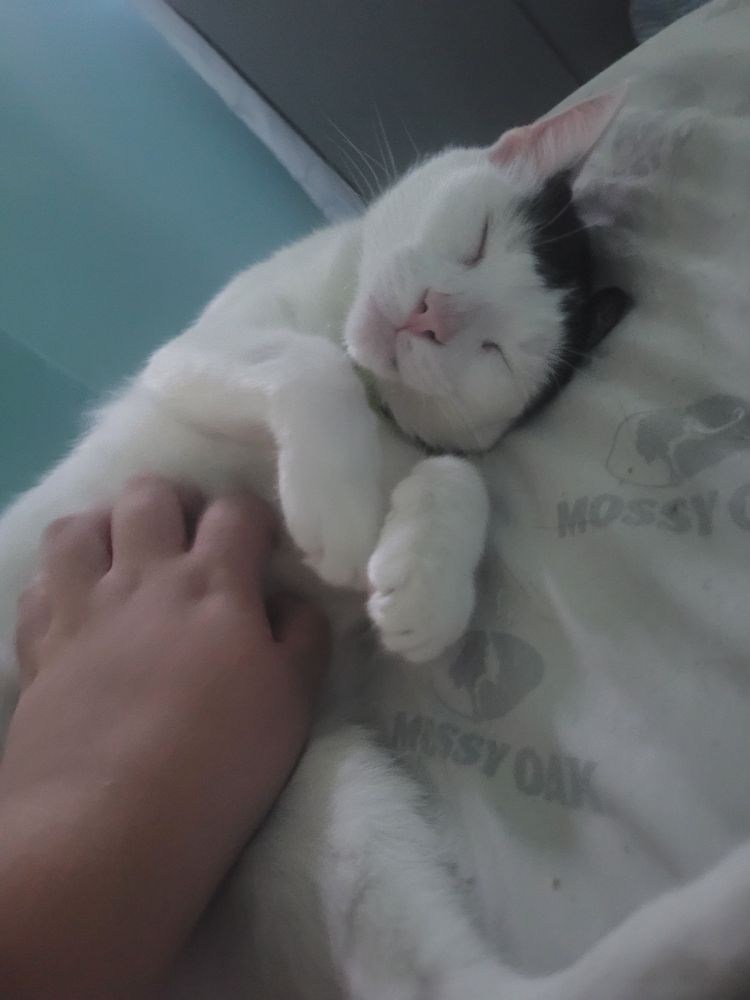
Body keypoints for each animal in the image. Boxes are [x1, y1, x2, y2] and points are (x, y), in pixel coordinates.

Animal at [2, 90, 747, 999]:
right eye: (478, 241)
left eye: (496, 350)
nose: (433, 313)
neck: (374, 406)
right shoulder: (194, 352)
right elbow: (309, 361)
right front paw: (339, 503)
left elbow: (462, 474)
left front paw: (423, 584)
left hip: (324, 798)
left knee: (478, 986)